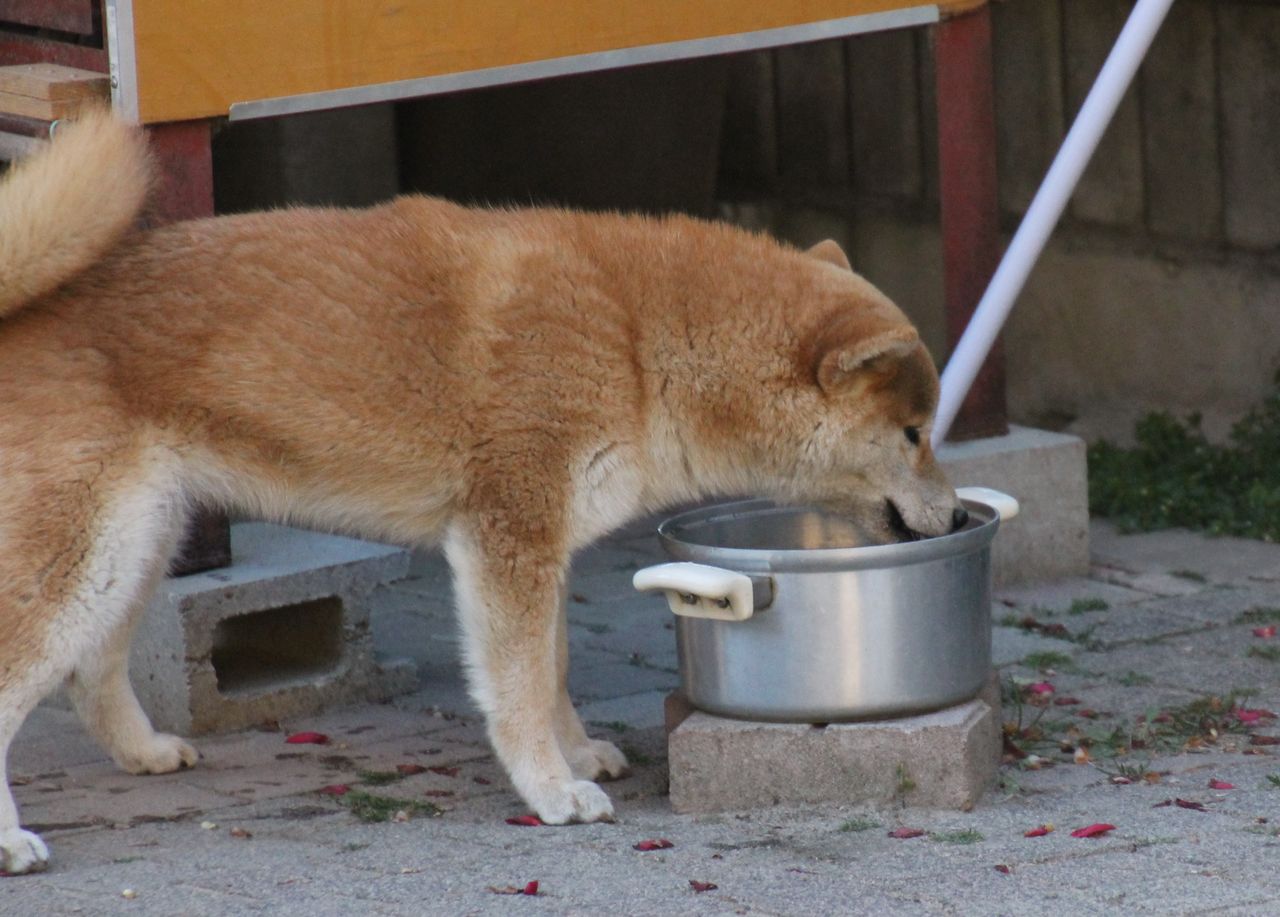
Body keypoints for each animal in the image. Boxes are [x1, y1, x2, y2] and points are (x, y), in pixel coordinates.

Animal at [0, 110, 965, 873]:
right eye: (914, 434)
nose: (958, 512)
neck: (638, 337)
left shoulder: (545, 545)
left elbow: (553, 669)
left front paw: (577, 754)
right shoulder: (507, 537)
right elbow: (519, 684)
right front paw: (552, 789)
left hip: (137, 544)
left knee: (89, 672)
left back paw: (143, 752)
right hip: (85, 555)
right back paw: (13, 843)